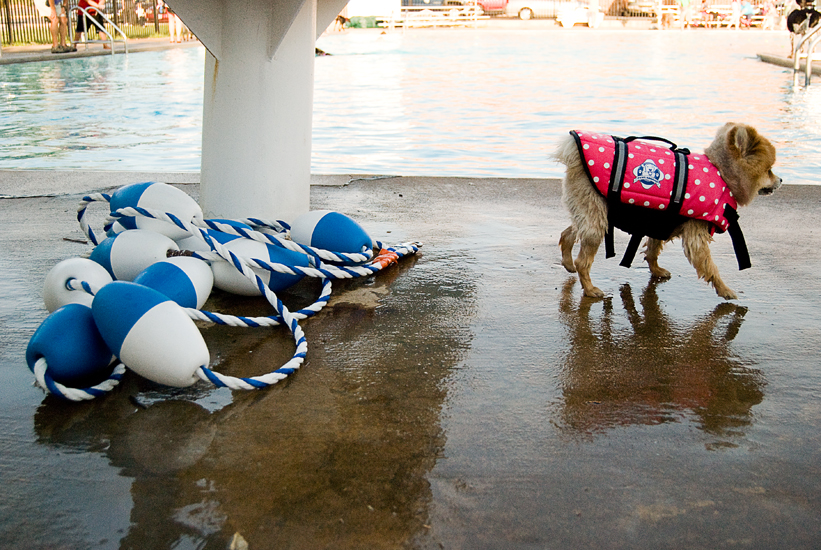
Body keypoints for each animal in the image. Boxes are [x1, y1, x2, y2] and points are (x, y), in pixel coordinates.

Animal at [556, 123, 780, 302]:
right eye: (769, 170)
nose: (780, 180)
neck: (721, 173)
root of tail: (573, 151)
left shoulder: (660, 221)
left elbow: (653, 250)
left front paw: (656, 270)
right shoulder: (695, 236)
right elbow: (710, 266)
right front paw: (725, 290)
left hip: (590, 212)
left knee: (568, 233)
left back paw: (568, 263)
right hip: (595, 220)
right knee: (583, 261)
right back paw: (590, 289)